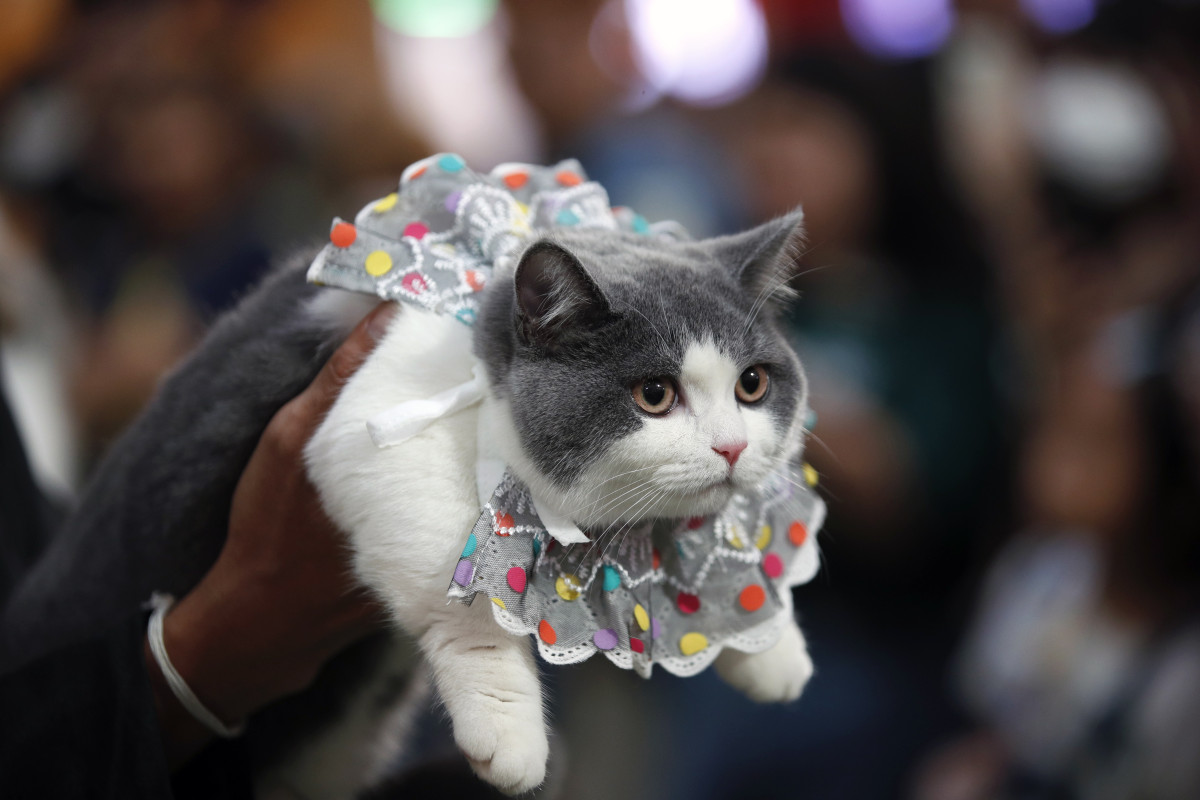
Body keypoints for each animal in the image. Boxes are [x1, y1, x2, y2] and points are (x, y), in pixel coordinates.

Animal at [2, 159, 816, 796]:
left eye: (752, 385)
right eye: (654, 395)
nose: (732, 449)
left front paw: (770, 645)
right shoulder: (373, 420)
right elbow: (460, 586)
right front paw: (507, 727)